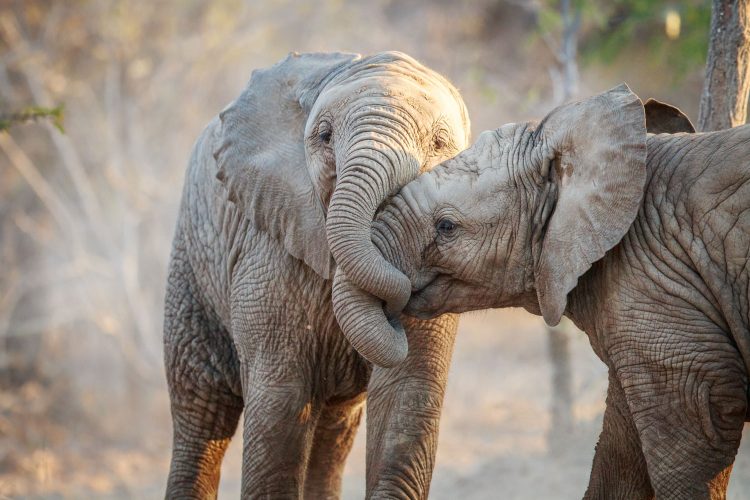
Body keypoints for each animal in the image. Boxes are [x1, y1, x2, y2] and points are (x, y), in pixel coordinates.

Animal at [164, 51, 470, 500]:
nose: (395, 307)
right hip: (191, 262)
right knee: (201, 409)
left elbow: (406, 391)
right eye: (324, 136)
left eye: (439, 144)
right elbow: (281, 400)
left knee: (333, 429)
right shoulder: (268, 248)